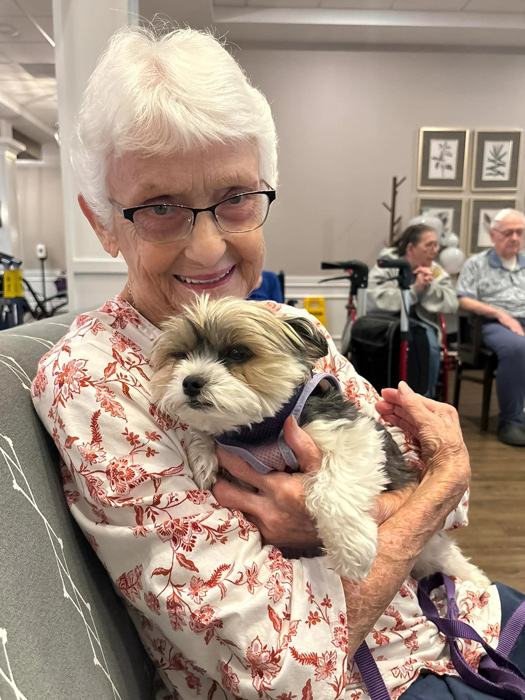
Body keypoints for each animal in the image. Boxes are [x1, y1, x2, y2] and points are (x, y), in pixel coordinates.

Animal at [149, 296, 490, 584]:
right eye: (180, 356)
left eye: (237, 353)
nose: (190, 381)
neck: (261, 431)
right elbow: (204, 433)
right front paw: (203, 454)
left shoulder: (351, 435)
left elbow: (331, 490)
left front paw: (352, 549)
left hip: (431, 547)